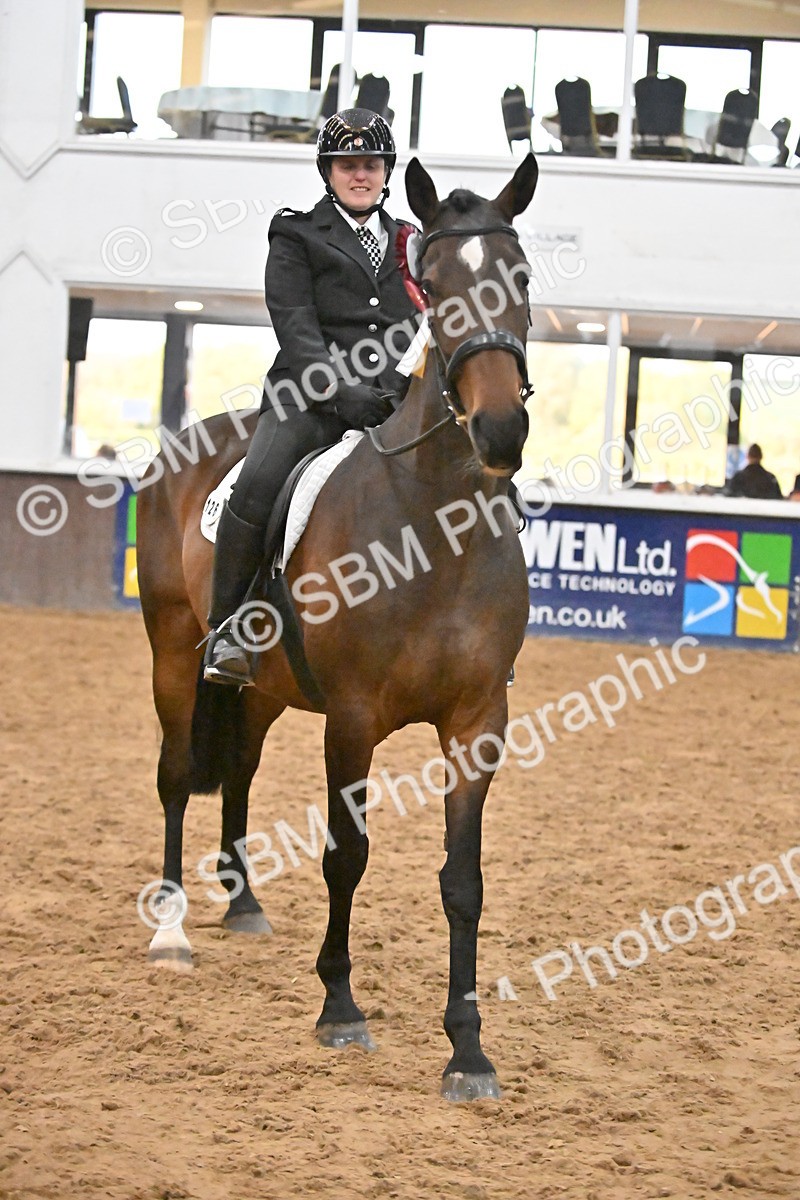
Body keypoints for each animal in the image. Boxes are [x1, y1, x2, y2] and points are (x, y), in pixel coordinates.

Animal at [136, 152, 539, 1102]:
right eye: (435, 285)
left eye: (522, 279)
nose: (501, 429)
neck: (436, 525)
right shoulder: (352, 721)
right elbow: (346, 855)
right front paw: (341, 1008)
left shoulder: (478, 725)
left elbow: (463, 881)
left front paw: (468, 1050)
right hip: (172, 655)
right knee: (175, 777)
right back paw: (172, 928)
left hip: (262, 691)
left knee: (238, 769)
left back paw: (243, 903)